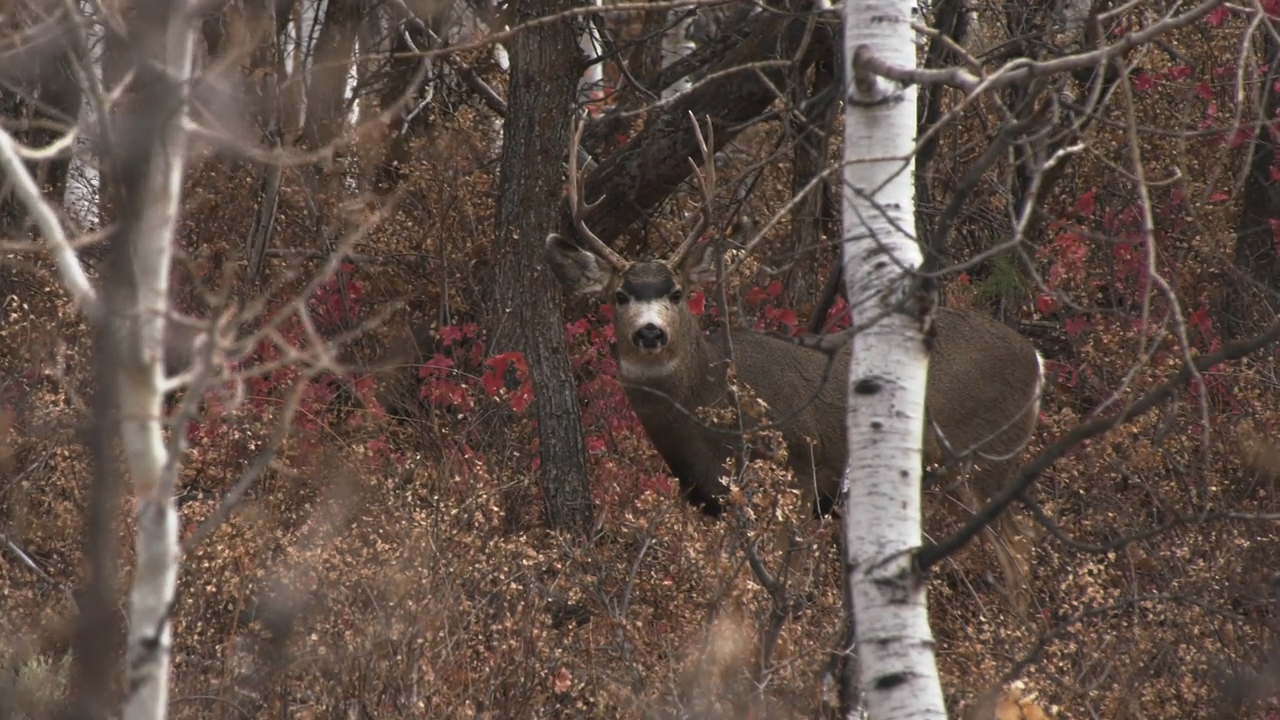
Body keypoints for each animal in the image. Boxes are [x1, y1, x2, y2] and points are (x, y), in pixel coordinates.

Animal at [546, 115, 1046, 613]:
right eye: (619, 295)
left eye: (676, 292)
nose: (650, 333)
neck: (708, 408)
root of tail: (1036, 360)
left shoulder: (800, 475)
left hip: (985, 456)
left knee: (1020, 546)